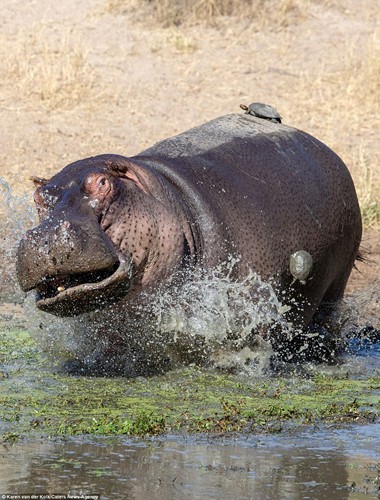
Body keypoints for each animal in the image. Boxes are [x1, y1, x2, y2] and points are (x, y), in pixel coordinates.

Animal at [16, 111, 362, 374]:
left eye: (102, 182)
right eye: (37, 197)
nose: (45, 236)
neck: (165, 196)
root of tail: (323, 147)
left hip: (335, 287)